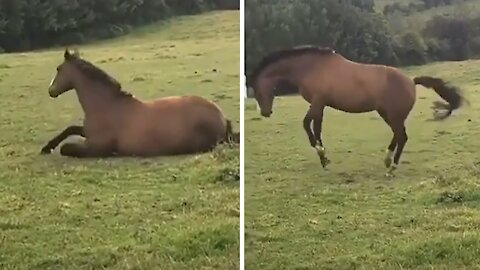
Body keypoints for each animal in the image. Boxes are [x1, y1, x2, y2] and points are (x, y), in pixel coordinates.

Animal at [41, 48, 238, 158]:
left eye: (58, 69)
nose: (50, 91)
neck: (106, 106)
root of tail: (222, 116)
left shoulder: (96, 146)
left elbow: (67, 148)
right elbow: (70, 129)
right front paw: (46, 147)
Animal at [248, 45, 464, 176]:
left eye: (256, 89)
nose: (265, 112)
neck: (311, 68)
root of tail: (411, 81)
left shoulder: (317, 103)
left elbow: (307, 125)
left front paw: (321, 154)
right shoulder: (321, 105)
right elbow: (316, 128)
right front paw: (324, 158)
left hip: (393, 116)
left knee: (402, 137)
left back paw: (391, 168)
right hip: (387, 114)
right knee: (398, 136)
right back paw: (387, 161)